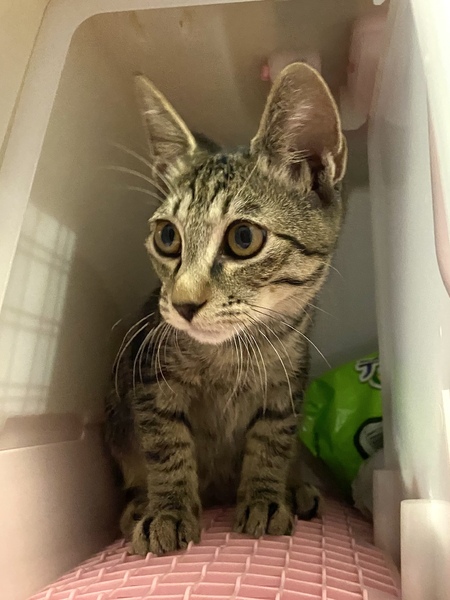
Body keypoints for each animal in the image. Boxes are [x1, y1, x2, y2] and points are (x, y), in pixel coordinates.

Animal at [105, 62, 347, 556]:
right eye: (167, 236)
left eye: (243, 238)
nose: (183, 303)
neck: (230, 354)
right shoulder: (150, 383)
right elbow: (167, 447)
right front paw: (168, 510)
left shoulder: (285, 388)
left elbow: (271, 442)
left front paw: (266, 497)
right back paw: (139, 506)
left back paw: (296, 486)